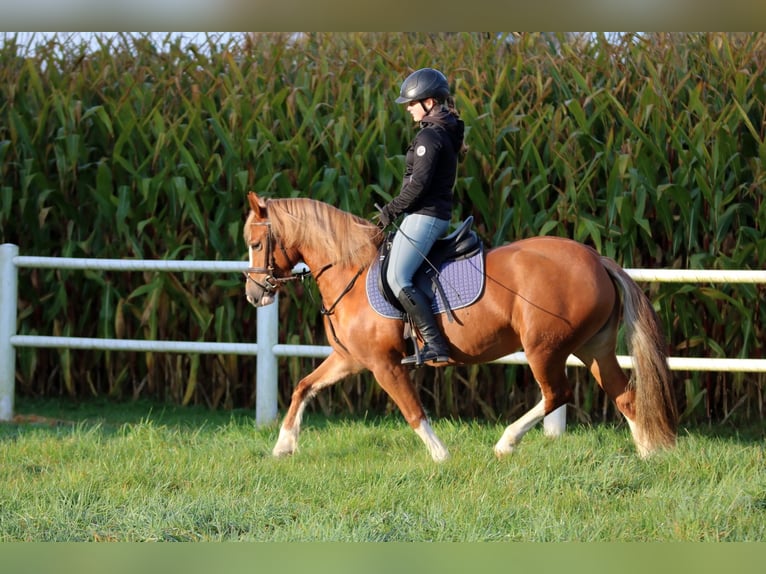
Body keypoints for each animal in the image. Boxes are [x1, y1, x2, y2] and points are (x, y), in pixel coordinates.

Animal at [244, 194, 680, 464]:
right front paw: (283, 445)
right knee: (624, 396)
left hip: (545, 349)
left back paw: (505, 443)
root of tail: (594, 257)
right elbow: (303, 386)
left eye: (255, 243)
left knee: (558, 394)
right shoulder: (350, 358)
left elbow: (413, 411)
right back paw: (649, 455)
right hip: (593, 348)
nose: (253, 295)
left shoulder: (385, 365)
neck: (351, 268)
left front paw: (441, 457)